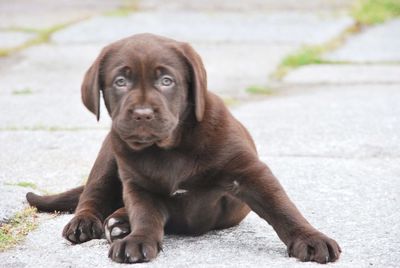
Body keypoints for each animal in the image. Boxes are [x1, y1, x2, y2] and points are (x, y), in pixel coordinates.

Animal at [26, 33, 340, 264]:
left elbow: (281, 206)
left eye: (167, 81)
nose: (142, 114)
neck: (169, 149)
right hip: (109, 152)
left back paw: (118, 221)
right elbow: (145, 214)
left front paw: (310, 238)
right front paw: (138, 239)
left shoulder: (248, 171)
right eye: (120, 81)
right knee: (92, 194)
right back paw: (89, 223)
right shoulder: (138, 186)